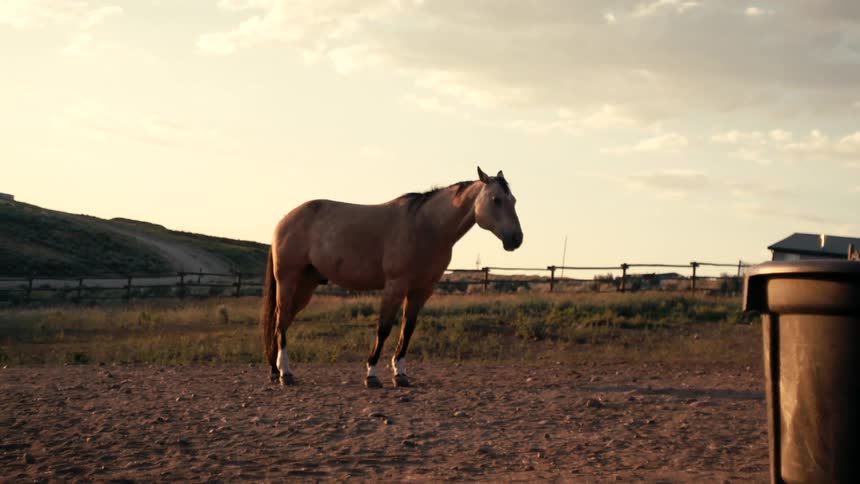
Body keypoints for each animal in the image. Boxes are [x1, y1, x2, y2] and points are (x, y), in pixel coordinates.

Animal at [260, 167, 523, 388]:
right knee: (281, 320)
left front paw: (401, 374)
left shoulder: (421, 290)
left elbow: (407, 329)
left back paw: (275, 371)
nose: (516, 239)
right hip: (288, 281)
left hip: (306, 285)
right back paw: (285, 374)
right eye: (496, 200)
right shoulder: (395, 286)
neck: (425, 227)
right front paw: (372, 375)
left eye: (513, 200)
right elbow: (384, 328)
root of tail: (285, 221)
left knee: (282, 321)